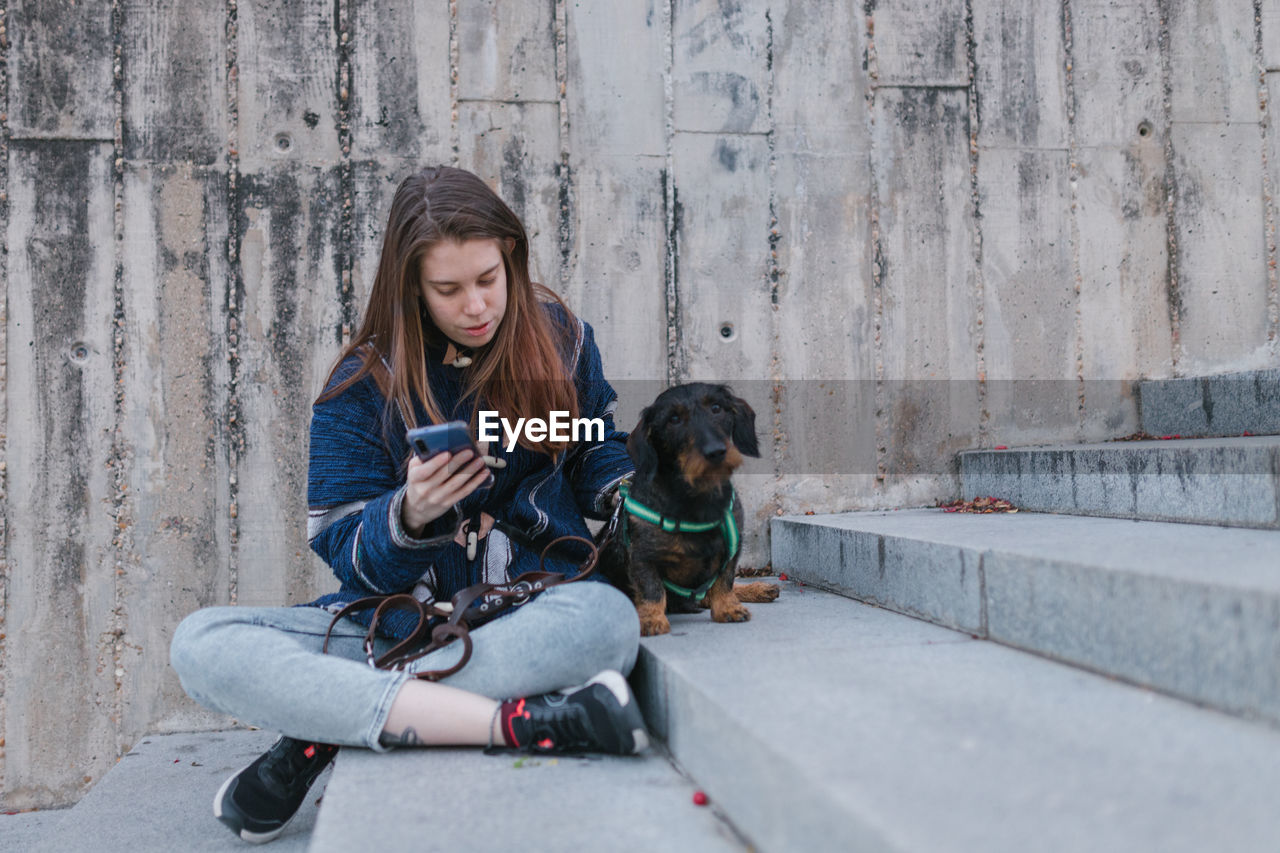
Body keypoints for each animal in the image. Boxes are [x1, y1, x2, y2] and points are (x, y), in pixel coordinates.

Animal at [596, 381, 778, 635]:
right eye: (673, 419)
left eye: (716, 408)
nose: (715, 451)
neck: (697, 499)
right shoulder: (642, 557)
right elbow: (652, 589)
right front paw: (651, 619)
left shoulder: (732, 548)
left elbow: (725, 581)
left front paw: (728, 607)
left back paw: (759, 589)